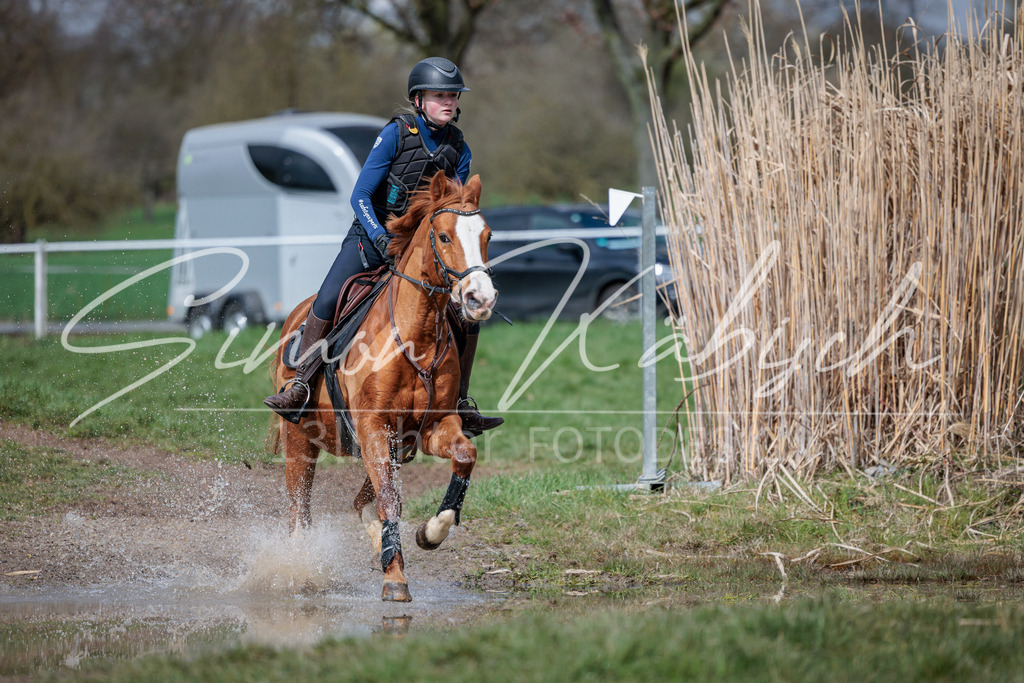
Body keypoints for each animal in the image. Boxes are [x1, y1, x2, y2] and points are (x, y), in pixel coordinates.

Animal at [267, 171, 497, 602]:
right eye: (444, 237)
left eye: (487, 235)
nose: (481, 298)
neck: (416, 337)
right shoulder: (373, 425)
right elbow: (390, 499)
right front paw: (395, 577)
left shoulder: (431, 427)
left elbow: (463, 455)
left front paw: (431, 533)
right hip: (300, 440)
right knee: (299, 509)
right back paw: (300, 568)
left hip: (392, 447)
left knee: (361, 500)